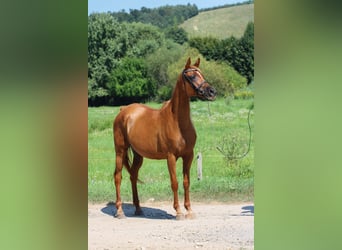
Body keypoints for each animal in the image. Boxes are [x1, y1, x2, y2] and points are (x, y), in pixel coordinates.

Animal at [114, 57, 216, 220]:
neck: (177, 122)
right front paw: (179, 212)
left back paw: (138, 209)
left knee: (133, 176)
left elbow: (186, 182)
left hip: (138, 155)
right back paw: (119, 211)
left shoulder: (189, 156)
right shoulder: (171, 157)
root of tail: (123, 111)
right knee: (118, 177)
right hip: (120, 151)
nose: (212, 92)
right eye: (192, 76)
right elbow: (174, 182)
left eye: (202, 74)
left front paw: (189, 210)